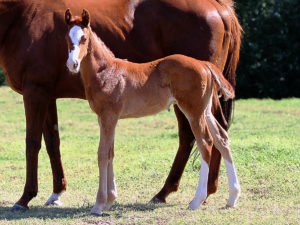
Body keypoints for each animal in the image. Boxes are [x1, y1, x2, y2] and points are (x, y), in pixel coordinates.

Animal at [64, 9, 240, 216]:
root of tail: (204, 64)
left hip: (193, 112)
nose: (73, 64)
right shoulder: (106, 119)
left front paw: (99, 204)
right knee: (222, 138)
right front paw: (110, 200)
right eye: (67, 37)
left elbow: (102, 154)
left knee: (205, 143)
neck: (106, 72)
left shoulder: (108, 117)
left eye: (83, 38)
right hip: (205, 111)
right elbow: (110, 153)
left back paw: (196, 200)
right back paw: (232, 197)